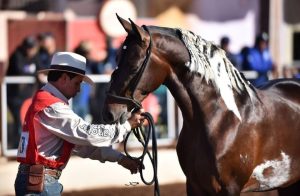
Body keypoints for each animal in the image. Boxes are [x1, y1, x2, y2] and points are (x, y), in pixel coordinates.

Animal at [102, 15, 300, 196]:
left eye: (133, 65)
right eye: (116, 58)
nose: (109, 112)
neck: (220, 119)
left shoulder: (230, 189)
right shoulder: (193, 185)